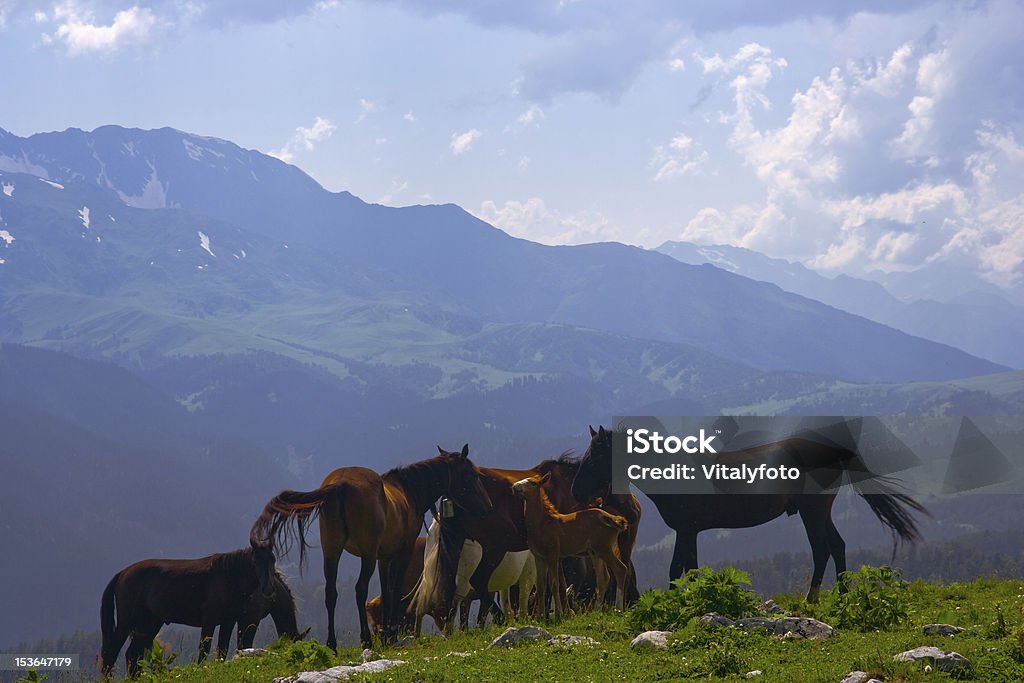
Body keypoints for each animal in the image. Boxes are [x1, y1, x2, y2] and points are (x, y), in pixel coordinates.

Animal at [100, 540, 278, 679]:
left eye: (273, 559)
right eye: (255, 561)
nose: (269, 588)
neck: (229, 577)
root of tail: (122, 573)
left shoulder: (228, 621)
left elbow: (222, 650)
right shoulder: (209, 621)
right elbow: (204, 649)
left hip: (148, 626)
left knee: (132, 654)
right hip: (126, 623)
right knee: (112, 653)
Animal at [250, 446, 491, 651]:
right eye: (472, 474)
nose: (487, 507)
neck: (408, 491)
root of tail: (340, 485)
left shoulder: (383, 557)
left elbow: (386, 588)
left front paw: (386, 634)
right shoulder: (400, 553)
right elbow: (394, 589)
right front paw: (390, 632)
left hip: (332, 551)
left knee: (331, 592)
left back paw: (332, 643)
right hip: (367, 554)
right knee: (360, 589)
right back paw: (365, 639)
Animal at [509, 473, 626, 622]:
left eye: (533, 483)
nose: (515, 487)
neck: (540, 525)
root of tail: (616, 520)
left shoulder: (553, 553)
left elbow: (555, 583)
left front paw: (558, 614)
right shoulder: (539, 556)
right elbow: (540, 586)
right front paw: (541, 617)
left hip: (605, 548)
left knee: (620, 569)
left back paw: (619, 609)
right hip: (595, 552)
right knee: (603, 578)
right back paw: (596, 610)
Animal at [573, 428, 933, 602]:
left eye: (593, 458)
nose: (576, 492)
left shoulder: (687, 530)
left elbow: (681, 569)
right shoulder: (688, 531)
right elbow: (684, 569)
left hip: (812, 511)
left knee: (822, 550)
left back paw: (812, 598)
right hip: (819, 512)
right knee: (838, 546)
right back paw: (842, 595)